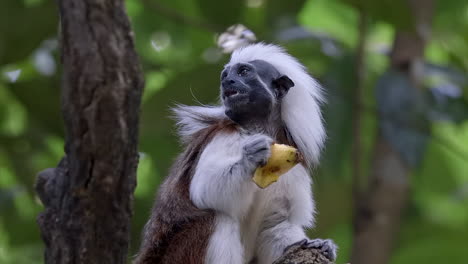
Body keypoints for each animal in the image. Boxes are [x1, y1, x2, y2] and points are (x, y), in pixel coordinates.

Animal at [135, 43, 336, 264]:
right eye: (225, 75)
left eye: (243, 72)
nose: (226, 81)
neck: (257, 128)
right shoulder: (223, 137)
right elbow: (204, 190)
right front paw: (250, 158)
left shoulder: (293, 161)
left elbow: (275, 225)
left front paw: (318, 244)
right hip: (178, 255)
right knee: (217, 218)